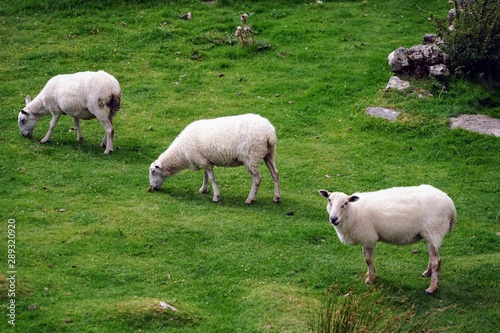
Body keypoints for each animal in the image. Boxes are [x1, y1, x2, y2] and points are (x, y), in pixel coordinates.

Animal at [148, 113, 282, 204]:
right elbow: (205, 176)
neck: (181, 153)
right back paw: (276, 197)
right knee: (275, 173)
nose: (152, 188)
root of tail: (269, 134)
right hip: (269, 154)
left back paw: (250, 199)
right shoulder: (204, 160)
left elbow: (212, 178)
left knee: (257, 179)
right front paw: (203, 189)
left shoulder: (204, 161)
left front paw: (216, 197)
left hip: (251, 157)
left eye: (153, 172)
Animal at [318, 184, 456, 294]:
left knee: (437, 261)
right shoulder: (365, 238)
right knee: (433, 257)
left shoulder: (369, 238)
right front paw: (371, 273)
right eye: (329, 200)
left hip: (434, 230)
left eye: (345, 203)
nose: (333, 219)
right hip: (431, 235)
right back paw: (427, 273)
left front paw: (370, 279)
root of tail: (451, 206)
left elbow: (368, 259)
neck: (353, 212)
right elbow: (365, 258)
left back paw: (432, 288)